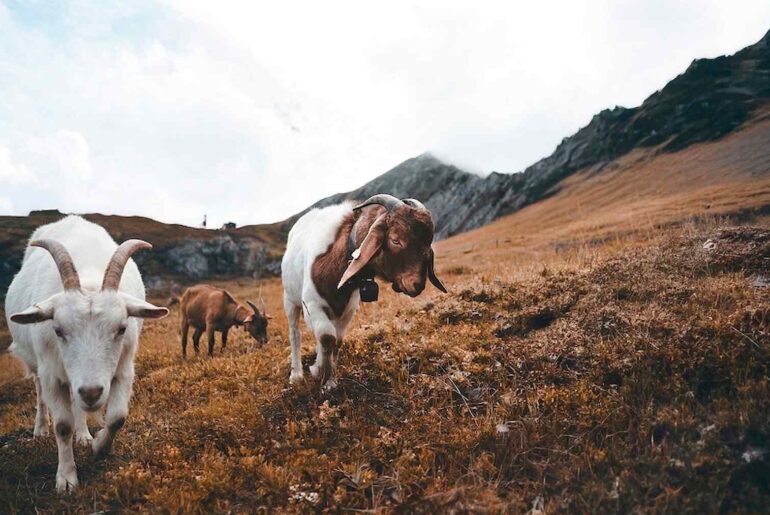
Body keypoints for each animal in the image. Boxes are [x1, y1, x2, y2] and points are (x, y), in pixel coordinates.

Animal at [4, 215, 168, 493]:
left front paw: (98, 446)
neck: (89, 278)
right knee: (39, 392)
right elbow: (62, 425)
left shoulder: (124, 368)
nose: (91, 392)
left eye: (121, 328)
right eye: (58, 330)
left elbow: (117, 417)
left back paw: (83, 434)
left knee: (77, 403)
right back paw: (41, 429)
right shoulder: (51, 373)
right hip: (39, 366)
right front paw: (66, 478)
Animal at [281, 194, 446, 389]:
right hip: (290, 301)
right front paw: (319, 371)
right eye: (395, 240)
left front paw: (330, 380)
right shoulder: (312, 305)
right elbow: (327, 337)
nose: (417, 285)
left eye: (428, 241)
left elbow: (336, 341)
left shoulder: (347, 310)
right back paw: (296, 375)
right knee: (294, 333)